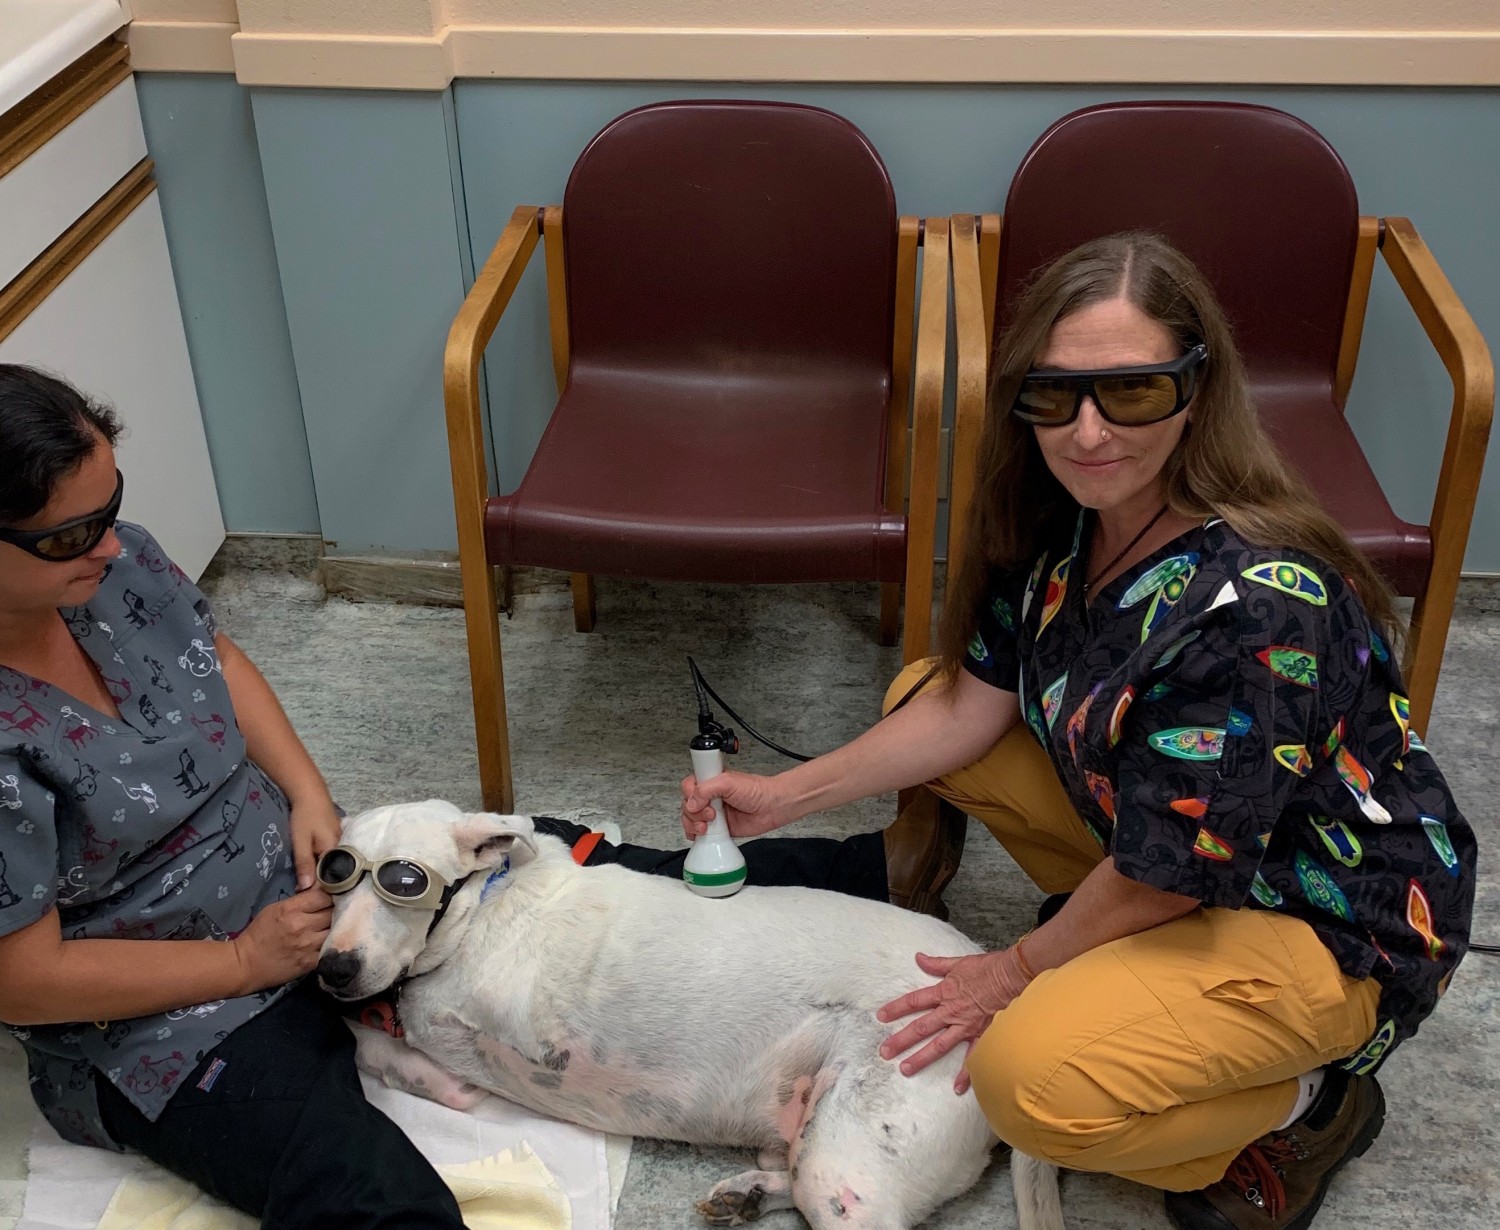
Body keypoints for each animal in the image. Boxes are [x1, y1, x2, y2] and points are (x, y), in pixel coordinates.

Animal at [316, 804, 1068, 1224]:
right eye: (334, 877)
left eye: (405, 881)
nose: (332, 968)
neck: (484, 901)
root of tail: (1002, 1005)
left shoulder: (453, 1037)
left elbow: (364, 1040)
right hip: (817, 1146)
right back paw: (745, 1196)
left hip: (848, 1161)